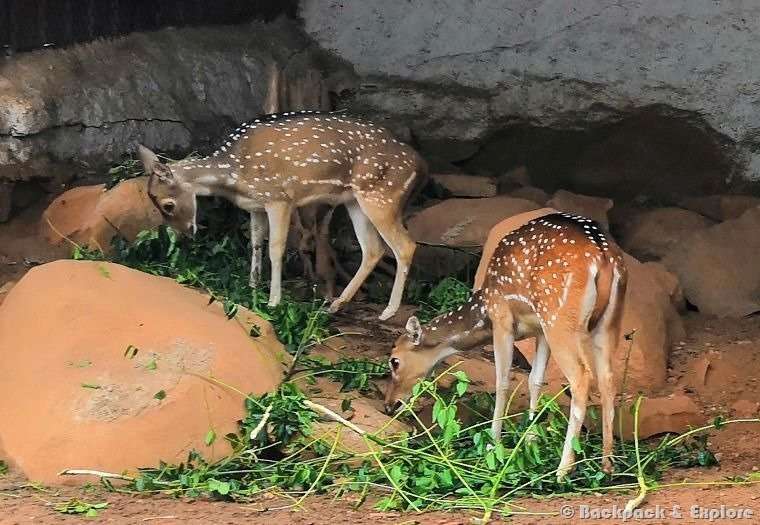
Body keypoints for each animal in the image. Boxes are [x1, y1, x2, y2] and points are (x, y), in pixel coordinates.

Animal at [139, 110, 424, 320]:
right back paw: (335, 304)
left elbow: (276, 248)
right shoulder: (256, 205)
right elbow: (255, 243)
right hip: (356, 201)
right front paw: (252, 286)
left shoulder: (279, 198)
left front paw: (273, 301)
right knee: (373, 249)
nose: (185, 234)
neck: (234, 173)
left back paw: (387, 312)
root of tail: (419, 164)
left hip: (382, 197)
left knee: (405, 245)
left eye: (167, 205)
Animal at [386, 212, 628, 478]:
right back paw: (607, 463)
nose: (389, 405)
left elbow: (502, 381)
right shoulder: (539, 331)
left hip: (559, 317)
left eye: (394, 361)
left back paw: (563, 469)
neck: (482, 310)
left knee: (582, 377)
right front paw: (531, 439)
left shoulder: (501, 318)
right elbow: (535, 380)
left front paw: (493, 443)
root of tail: (604, 258)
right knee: (608, 379)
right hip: (606, 322)